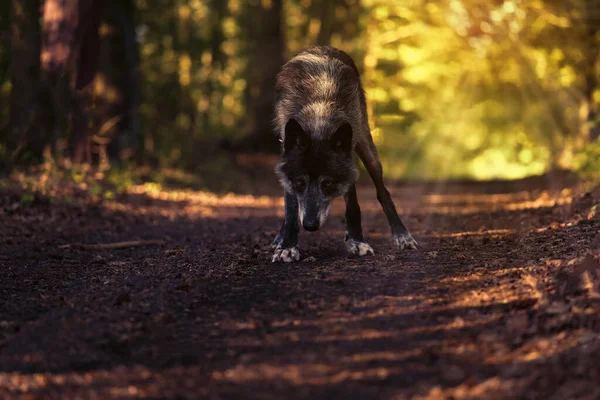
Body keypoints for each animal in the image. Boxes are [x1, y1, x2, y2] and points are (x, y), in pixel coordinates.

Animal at [272, 46, 418, 262]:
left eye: (327, 184)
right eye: (300, 182)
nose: (310, 225)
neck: (319, 116)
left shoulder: (350, 161)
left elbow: (353, 205)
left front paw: (357, 241)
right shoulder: (287, 168)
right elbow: (290, 210)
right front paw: (287, 246)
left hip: (368, 150)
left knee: (383, 192)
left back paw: (402, 236)